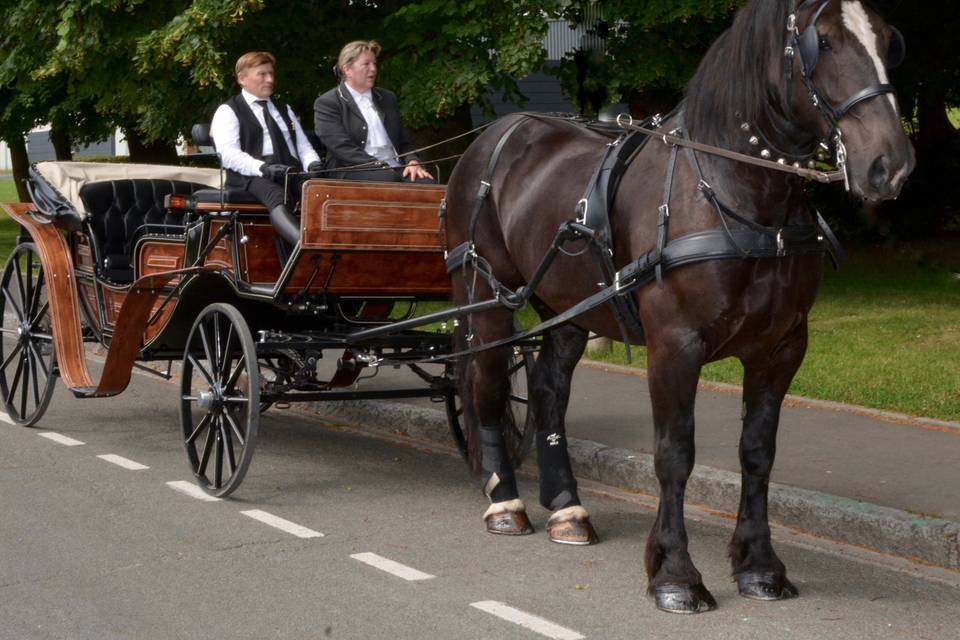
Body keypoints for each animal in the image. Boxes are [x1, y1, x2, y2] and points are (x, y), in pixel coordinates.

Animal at [442, 0, 916, 616]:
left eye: (887, 39)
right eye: (826, 42)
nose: (890, 165)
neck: (735, 193)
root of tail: (495, 135)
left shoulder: (783, 347)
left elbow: (757, 452)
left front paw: (759, 565)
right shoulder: (674, 345)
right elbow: (674, 454)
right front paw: (675, 574)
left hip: (568, 307)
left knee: (548, 390)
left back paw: (567, 507)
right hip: (488, 296)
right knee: (489, 386)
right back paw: (505, 503)